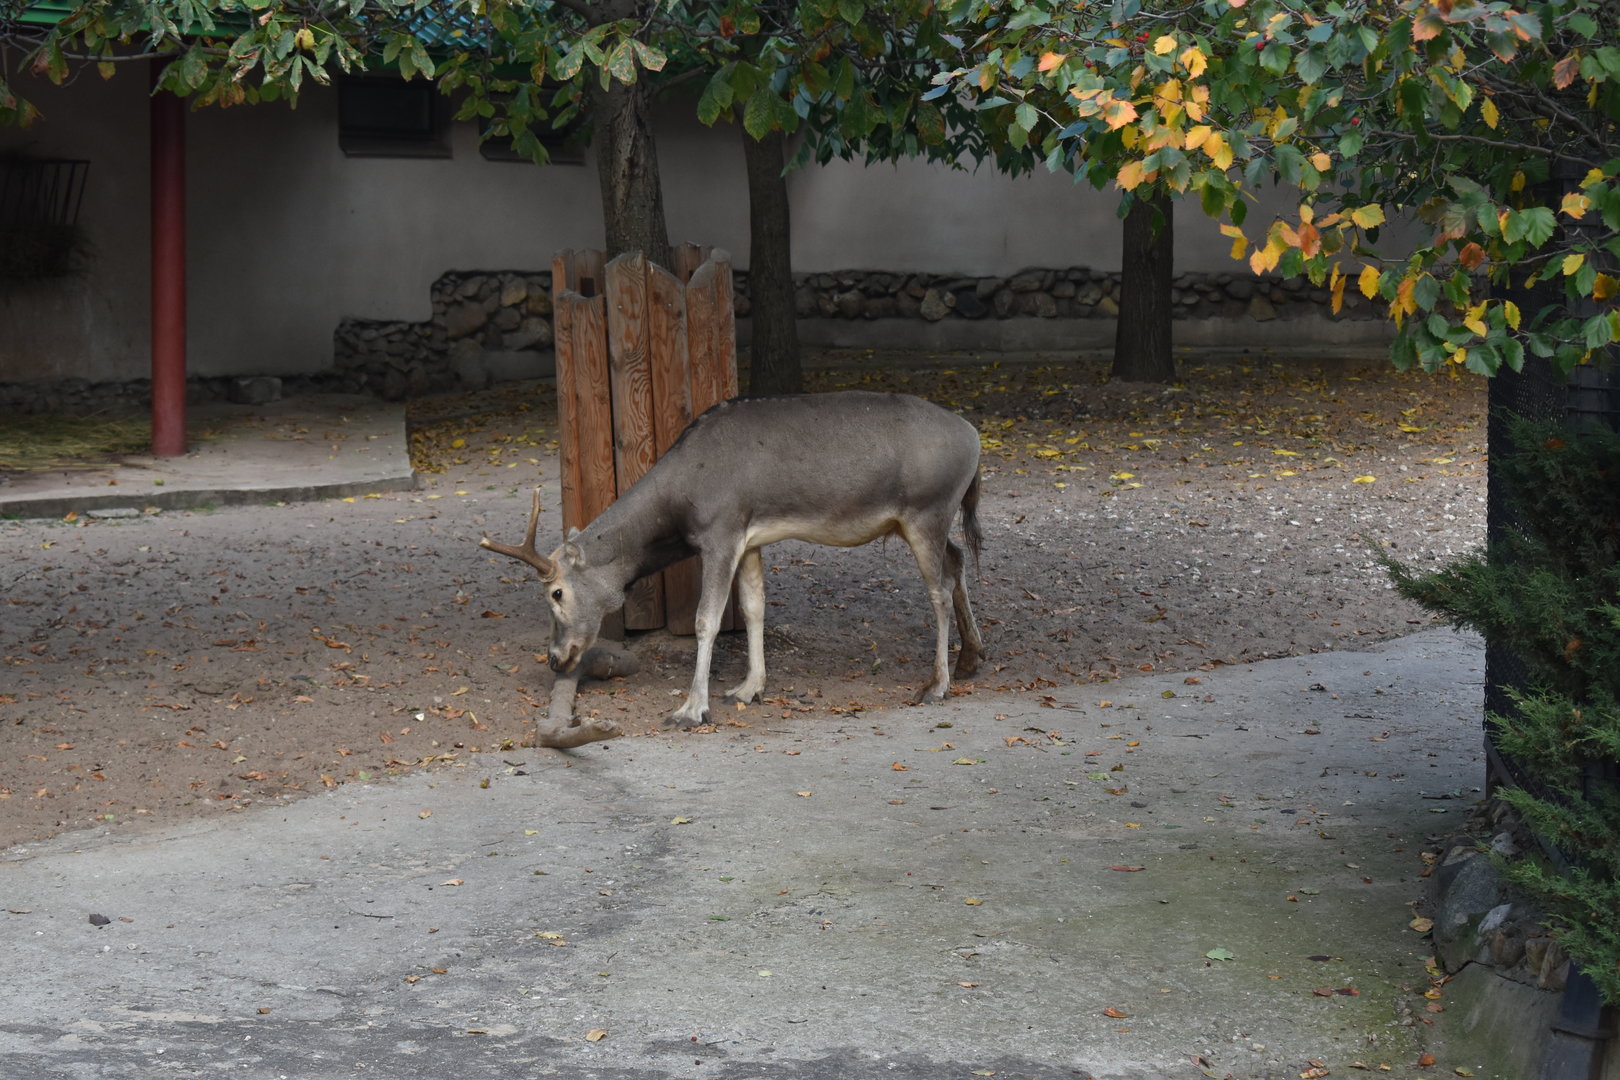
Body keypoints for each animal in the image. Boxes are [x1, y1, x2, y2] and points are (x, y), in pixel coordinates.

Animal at [479, 391, 986, 748]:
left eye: (556, 593)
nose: (555, 657)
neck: (679, 506)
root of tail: (975, 439)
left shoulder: (720, 531)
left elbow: (707, 619)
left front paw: (691, 709)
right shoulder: (750, 538)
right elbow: (753, 606)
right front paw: (748, 687)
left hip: (927, 510)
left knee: (939, 587)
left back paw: (936, 684)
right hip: (924, 520)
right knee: (960, 559)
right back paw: (970, 659)